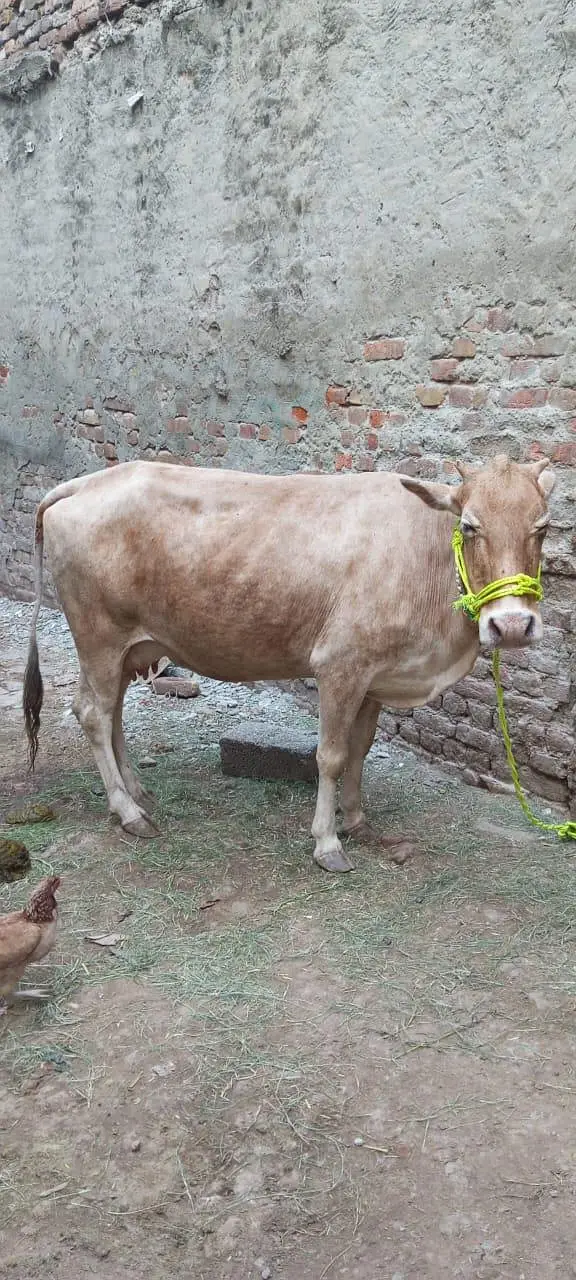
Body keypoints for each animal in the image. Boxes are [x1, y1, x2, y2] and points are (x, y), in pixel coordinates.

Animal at [23, 453, 554, 873]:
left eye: (543, 527)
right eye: (469, 526)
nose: (511, 625)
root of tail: (86, 483)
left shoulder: (374, 677)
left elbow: (360, 751)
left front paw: (357, 821)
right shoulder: (339, 665)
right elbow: (332, 756)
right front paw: (327, 842)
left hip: (126, 648)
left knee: (111, 711)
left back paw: (137, 792)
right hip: (98, 636)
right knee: (93, 713)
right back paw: (128, 812)